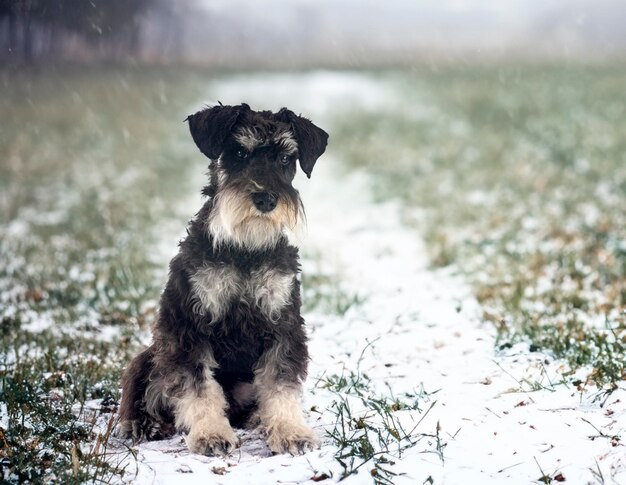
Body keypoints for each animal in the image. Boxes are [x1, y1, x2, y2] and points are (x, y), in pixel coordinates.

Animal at [119, 101, 330, 454]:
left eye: (285, 158)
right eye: (240, 152)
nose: (266, 199)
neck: (245, 250)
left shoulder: (283, 323)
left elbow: (280, 382)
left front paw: (290, 431)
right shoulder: (187, 326)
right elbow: (198, 386)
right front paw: (210, 434)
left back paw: (258, 419)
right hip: (150, 358)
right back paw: (145, 424)